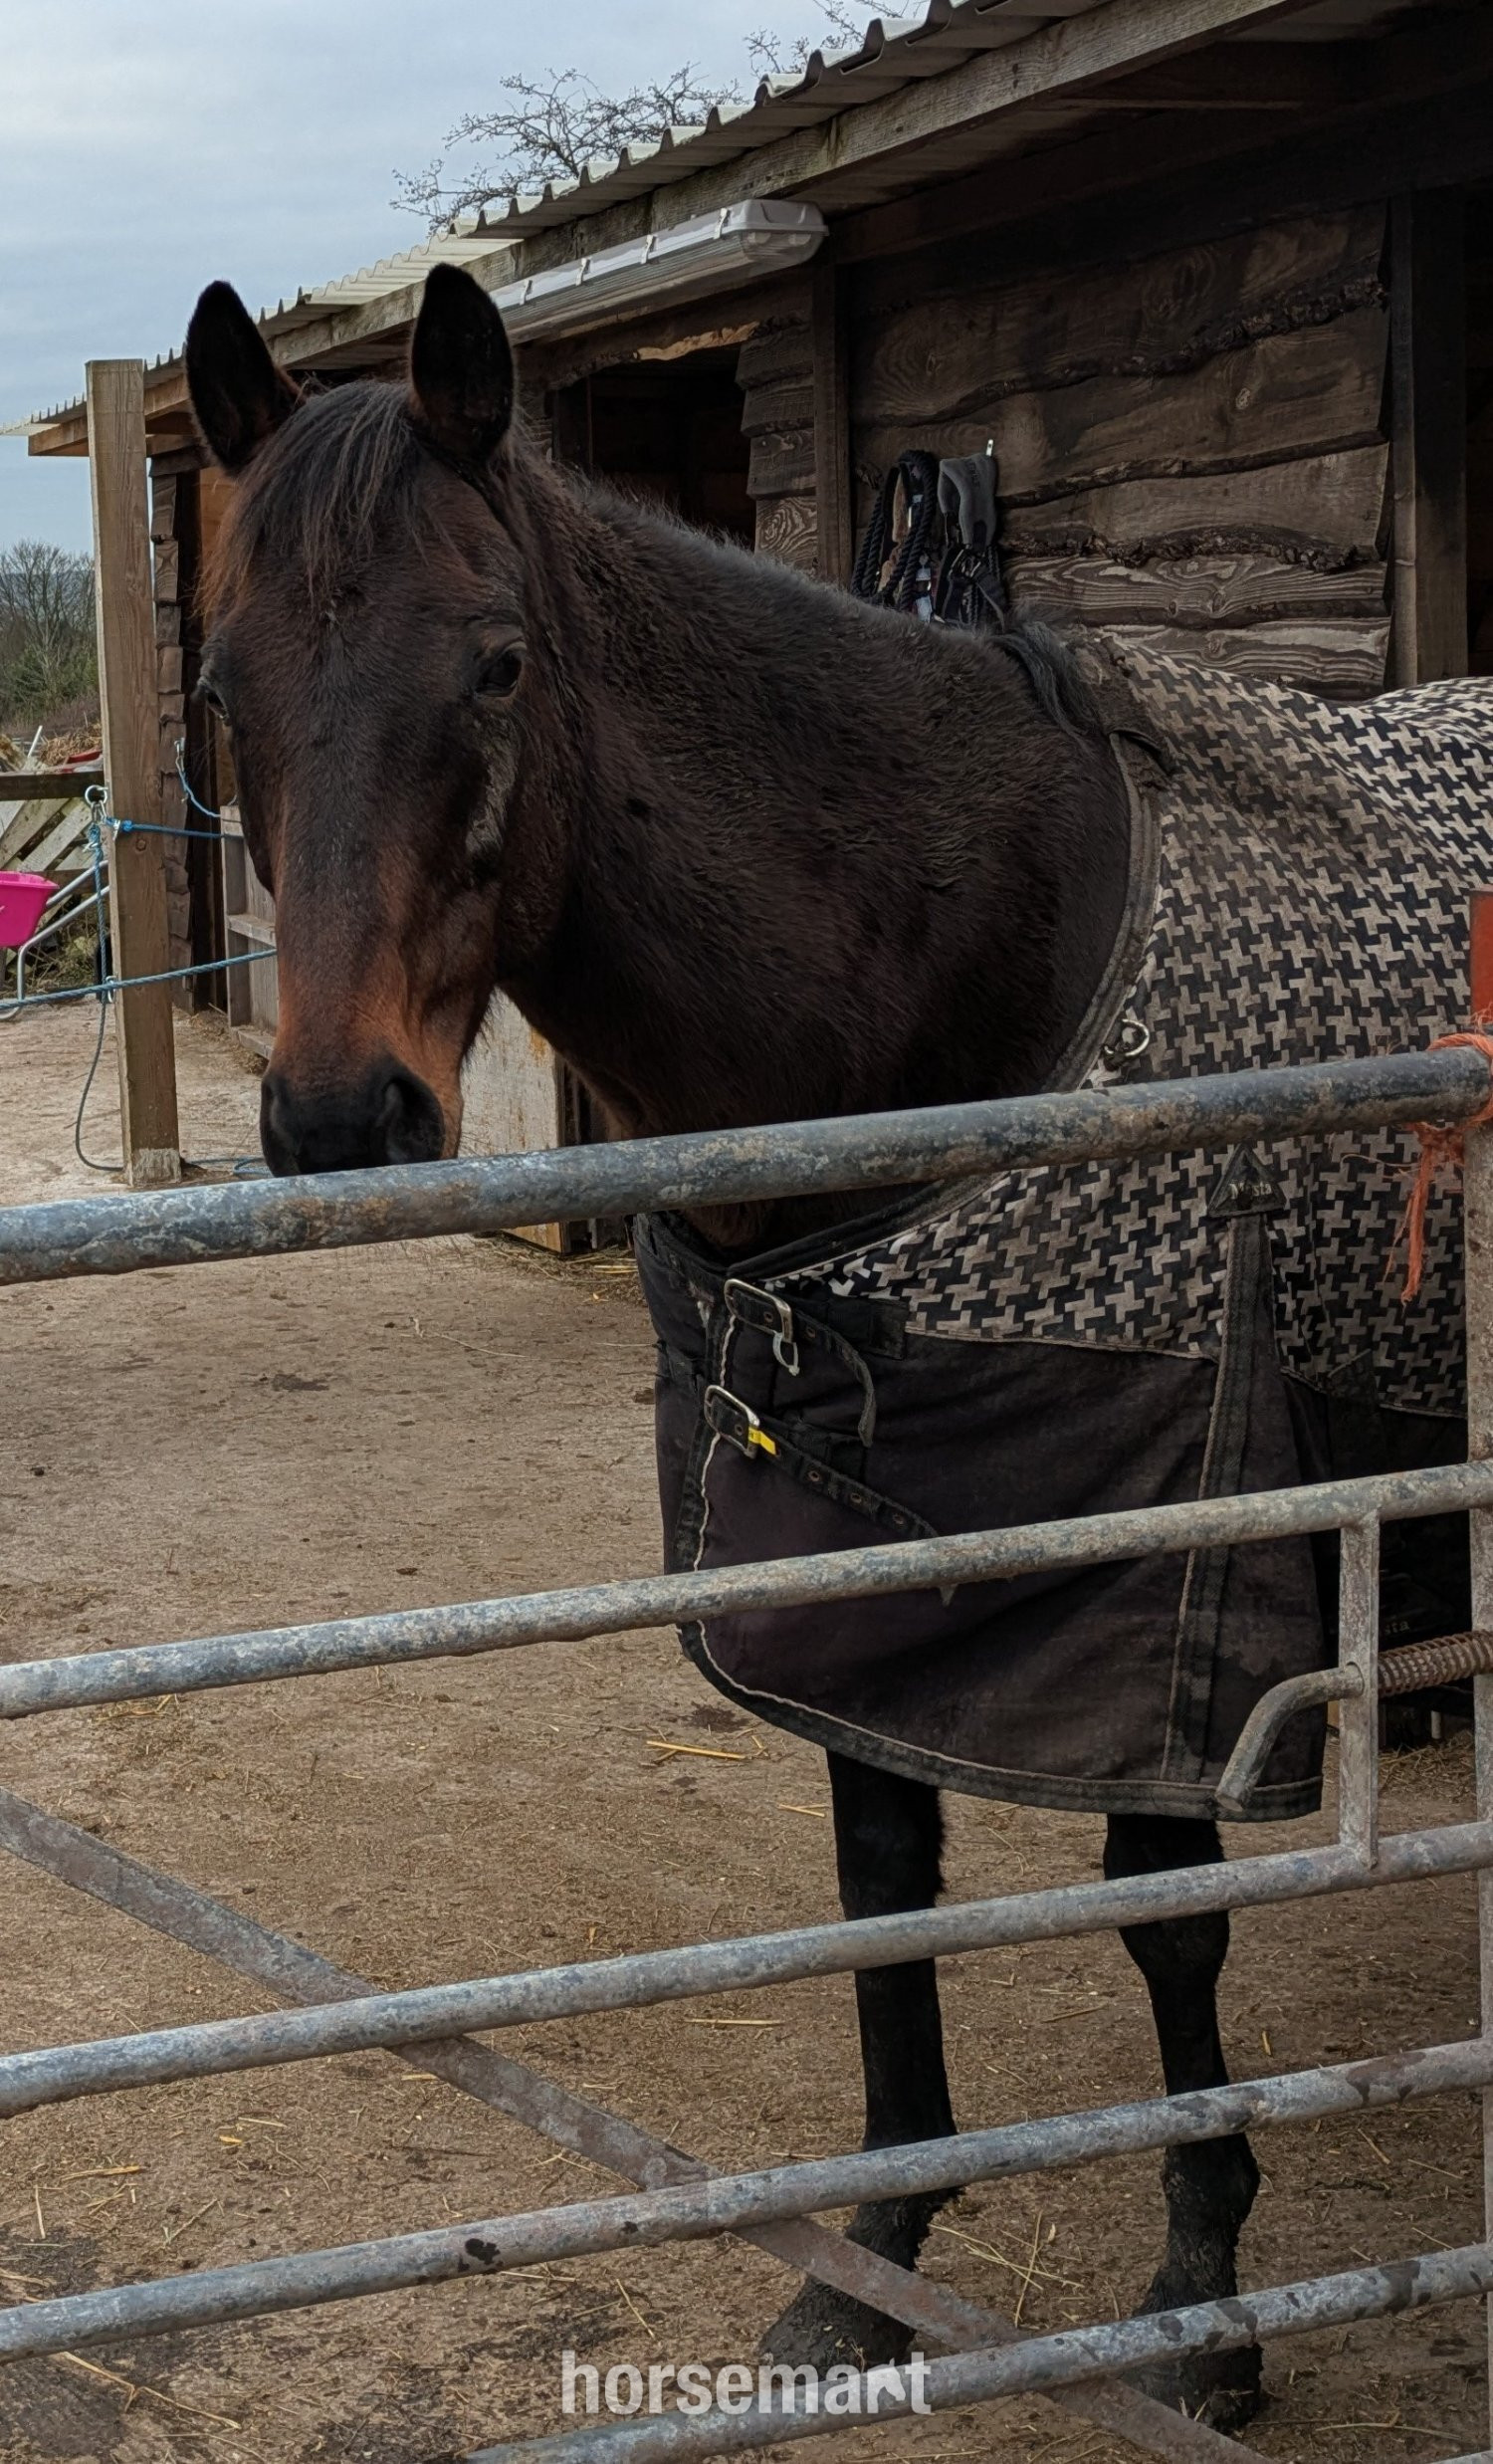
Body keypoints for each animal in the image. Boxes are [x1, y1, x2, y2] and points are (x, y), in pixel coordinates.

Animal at [179, 260, 1403, 2433]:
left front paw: (1207, 2304)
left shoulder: (1161, 1559)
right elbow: (878, 1875)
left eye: (498, 666)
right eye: (225, 690)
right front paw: (875, 2270)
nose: (337, 1116)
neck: (972, 962)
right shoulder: (848, 1565)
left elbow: (1165, 1917)